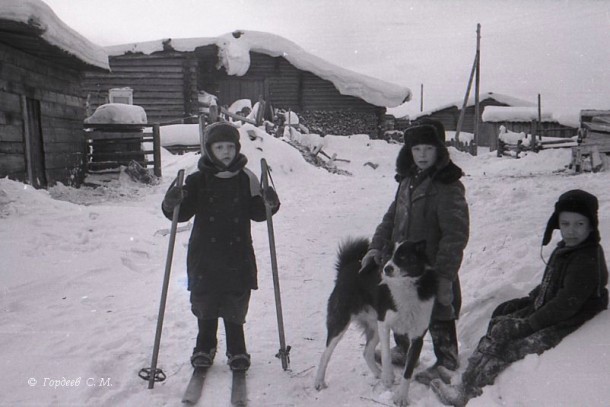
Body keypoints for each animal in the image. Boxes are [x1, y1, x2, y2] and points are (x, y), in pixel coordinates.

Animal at [312, 237, 434, 406]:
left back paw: (378, 373)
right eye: (387, 256)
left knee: (366, 352)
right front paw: (388, 377)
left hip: (374, 326)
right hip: (341, 322)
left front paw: (401, 397)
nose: (387, 269)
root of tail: (346, 266)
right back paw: (319, 381)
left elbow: (408, 371)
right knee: (325, 354)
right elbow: (386, 354)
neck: (404, 286)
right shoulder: (384, 324)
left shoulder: (417, 337)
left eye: (402, 257)